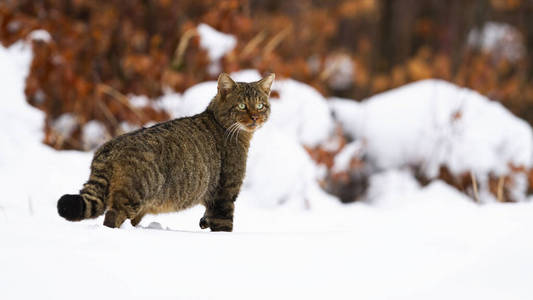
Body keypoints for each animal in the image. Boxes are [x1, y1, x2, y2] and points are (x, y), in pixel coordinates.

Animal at [57, 73, 274, 232]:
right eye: (242, 106)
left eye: (260, 105)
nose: (255, 117)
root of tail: (109, 148)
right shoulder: (225, 193)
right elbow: (224, 226)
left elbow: (206, 218)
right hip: (133, 196)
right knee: (112, 218)